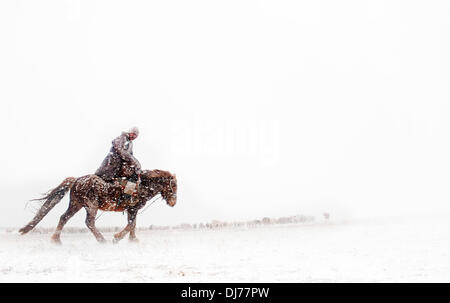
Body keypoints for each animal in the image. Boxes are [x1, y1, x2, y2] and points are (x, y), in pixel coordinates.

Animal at [19, 171, 178, 245]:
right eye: (174, 186)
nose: (173, 202)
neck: (143, 185)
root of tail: (77, 180)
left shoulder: (132, 210)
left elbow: (132, 224)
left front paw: (133, 240)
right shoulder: (133, 209)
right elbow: (131, 224)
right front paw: (117, 237)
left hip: (76, 204)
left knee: (64, 218)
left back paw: (56, 240)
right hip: (91, 206)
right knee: (89, 222)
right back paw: (102, 240)